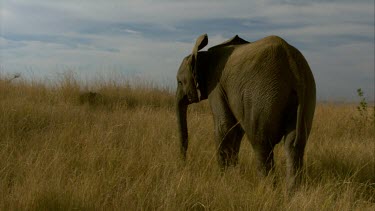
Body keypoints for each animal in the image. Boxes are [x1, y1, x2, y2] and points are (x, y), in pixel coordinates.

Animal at [177, 33, 318, 190]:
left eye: (179, 82)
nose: (184, 164)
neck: (203, 55)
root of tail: (293, 66)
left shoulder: (216, 85)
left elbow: (224, 126)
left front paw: (223, 178)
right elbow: (236, 130)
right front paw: (232, 174)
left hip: (261, 96)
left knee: (261, 143)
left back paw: (267, 189)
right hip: (307, 93)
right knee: (294, 144)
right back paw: (291, 192)